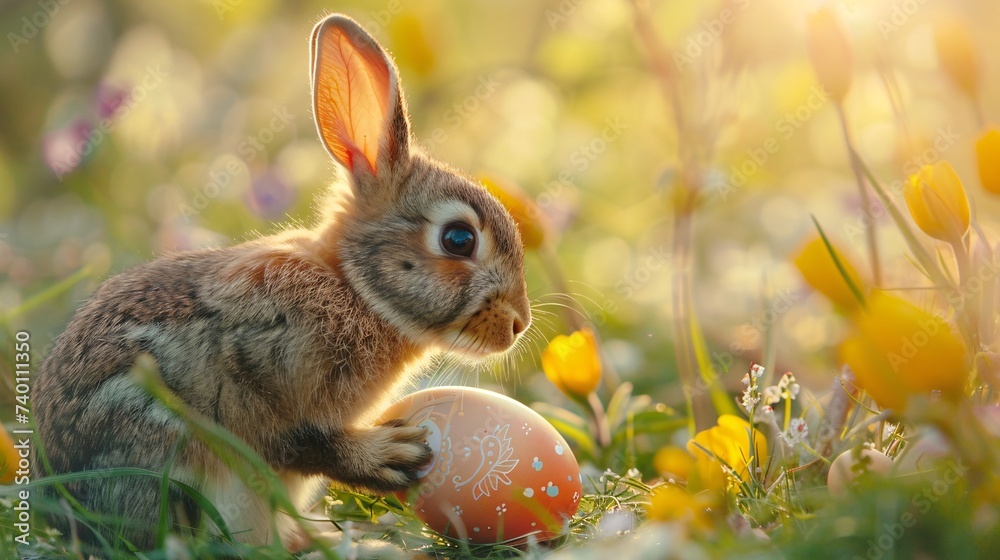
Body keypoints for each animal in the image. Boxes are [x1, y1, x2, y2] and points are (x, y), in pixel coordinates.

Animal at [33, 13, 531, 553]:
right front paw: (389, 455)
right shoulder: (256, 366)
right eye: (459, 239)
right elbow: (294, 439)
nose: (519, 324)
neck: (355, 290)